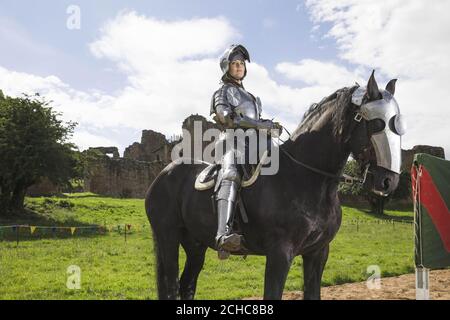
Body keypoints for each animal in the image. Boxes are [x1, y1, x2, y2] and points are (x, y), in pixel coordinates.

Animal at [145, 72, 400, 300]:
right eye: (377, 123)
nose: (389, 181)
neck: (307, 177)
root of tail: (164, 174)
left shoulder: (317, 253)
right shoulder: (280, 254)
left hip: (196, 244)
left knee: (187, 284)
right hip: (168, 237)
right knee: (170, 287)